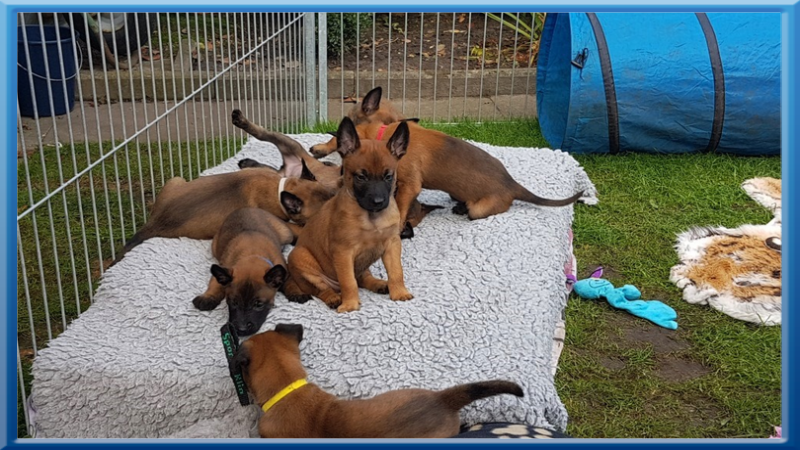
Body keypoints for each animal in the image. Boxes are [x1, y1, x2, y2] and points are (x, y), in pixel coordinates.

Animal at [193, 208, 298, 336]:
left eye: (259, 305)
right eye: (233, 303)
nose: (241, 330)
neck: (252, 254)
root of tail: (246, 208)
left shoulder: (284, 269)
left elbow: (290, 280)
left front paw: (295, 291)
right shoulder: (223, 269)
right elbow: (215, 283)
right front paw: (208, 297)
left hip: (286, 234)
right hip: (215, 246)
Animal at [232, 109, 439, 238]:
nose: (380, 200)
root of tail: (290, 168)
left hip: (281, 168)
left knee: (269, 168)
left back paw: (247, 162)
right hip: (289, 144)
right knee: (262, 134)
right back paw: (241, 122)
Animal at [284, 117, 413, 313]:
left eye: (388, 177)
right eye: (361, 177)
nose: (378, 201)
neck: (371, 218)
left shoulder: (392, 244)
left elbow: (396, 271)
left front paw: (399, 292)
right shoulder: (343, 253)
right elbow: (348, 281)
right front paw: (350, 304)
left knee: (363, 278)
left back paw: (379, 284)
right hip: (301, 260)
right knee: (322, 289)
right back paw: (334, 298)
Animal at [309, 87, 584, 224]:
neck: (384, 132)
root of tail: (512, 184)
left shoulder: (410, 185)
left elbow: (401, 207)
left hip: (480, 209)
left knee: (476, 213)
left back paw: (463, 210)